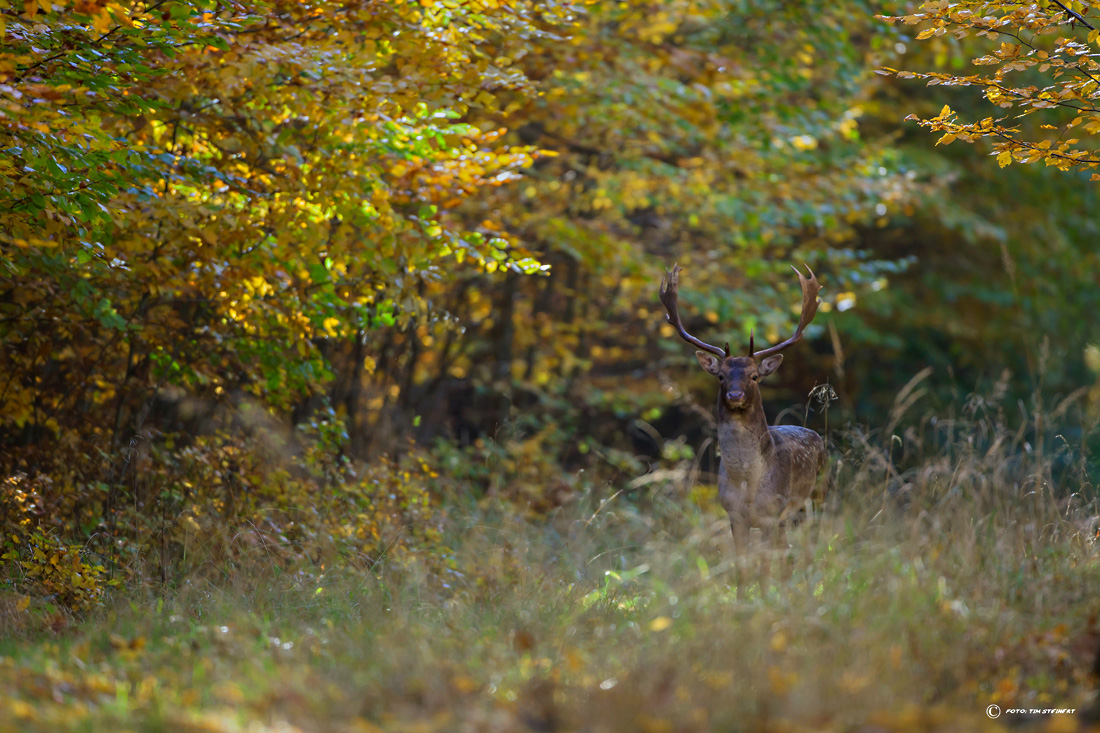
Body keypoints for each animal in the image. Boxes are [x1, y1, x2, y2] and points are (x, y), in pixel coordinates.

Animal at [660, 264, 827, 548]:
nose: (735, 394)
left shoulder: (772, 513)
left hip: (818, 495)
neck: (747, 484)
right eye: (721, 376)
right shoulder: (734, 515)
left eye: (754, 376)